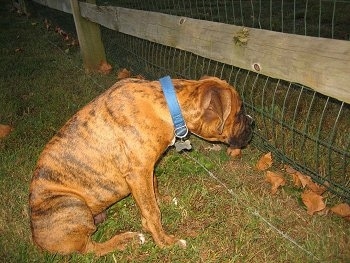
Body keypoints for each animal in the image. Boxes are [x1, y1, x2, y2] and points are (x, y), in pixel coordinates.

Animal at [28, 76, 253, 256]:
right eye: (240, 112)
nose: (253, 122)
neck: (168, 106)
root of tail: (36, 239)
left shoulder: (147, 169)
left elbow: (153, 191)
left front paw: (162, 202)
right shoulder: (138, 173)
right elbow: (152, 211)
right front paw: (166, 242)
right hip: (72, 204)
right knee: (89, 249)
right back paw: (126, 240)